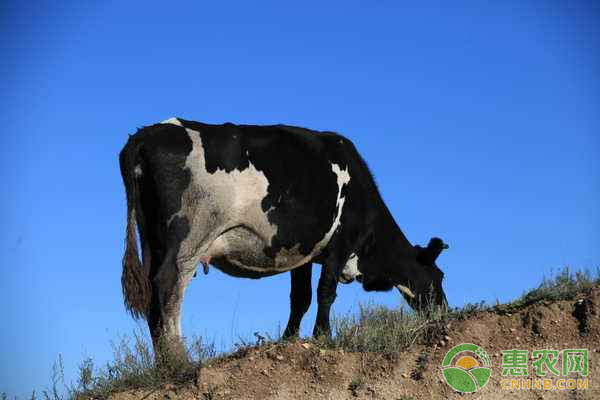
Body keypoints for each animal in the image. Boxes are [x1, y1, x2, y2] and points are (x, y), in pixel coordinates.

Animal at [118, 117, 446, 360]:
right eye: (439, 277)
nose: (445, 311)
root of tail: (145, 135)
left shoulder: (303, 252)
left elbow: (300, 298)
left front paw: (289, 338)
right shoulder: (341, 240)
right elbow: (326, 291)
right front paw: (323, 336)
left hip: (152, 239)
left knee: (151, 290)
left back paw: (162, 362)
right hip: (189, 237)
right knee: (168, 285)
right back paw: (179, 359)